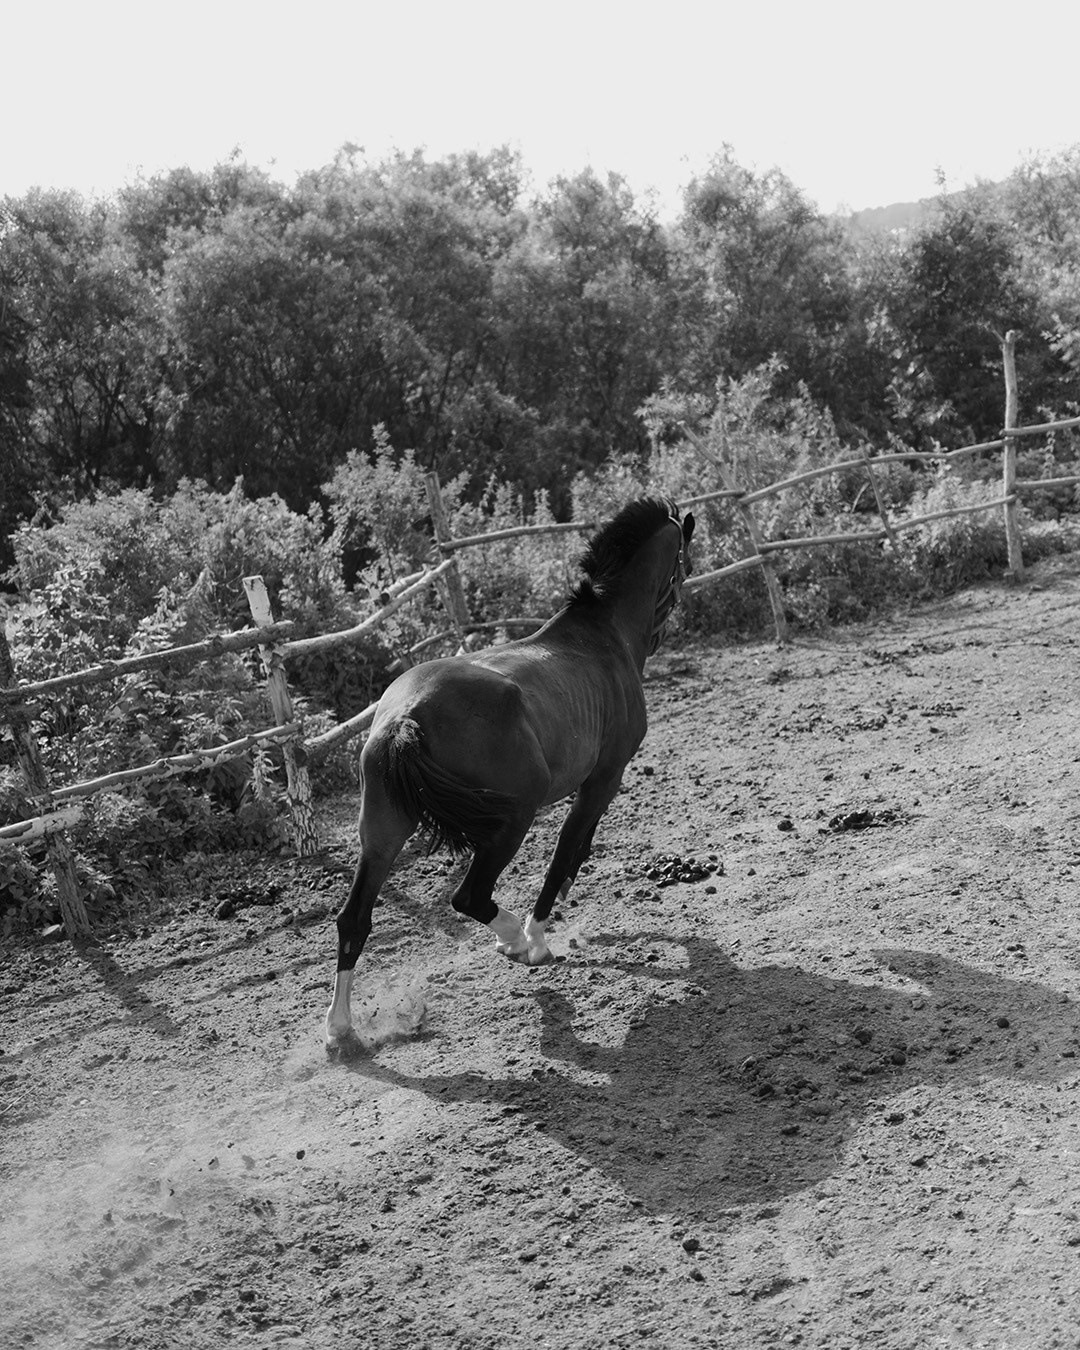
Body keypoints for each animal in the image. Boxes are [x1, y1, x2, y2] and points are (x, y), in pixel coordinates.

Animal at [325, 496, 695, 1050]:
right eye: (683, 559)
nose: (666, 626)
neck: (604, 636)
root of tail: (405, 716)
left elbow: (579, 850)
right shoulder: (603, 778)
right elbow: (568, 850)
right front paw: (540, 934)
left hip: (383, 832)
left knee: (354, 920)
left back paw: (339, 1028)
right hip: (511, 821)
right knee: (469, 896)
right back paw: (518, 942)